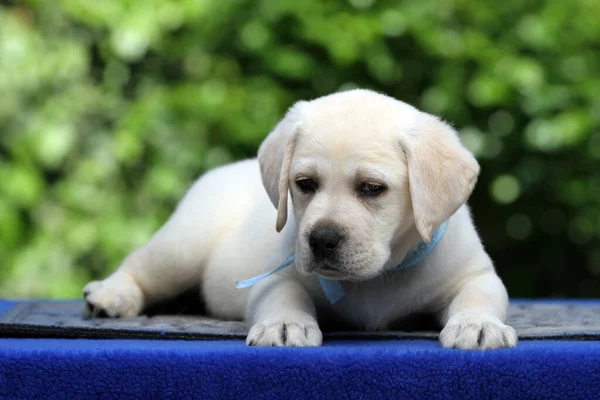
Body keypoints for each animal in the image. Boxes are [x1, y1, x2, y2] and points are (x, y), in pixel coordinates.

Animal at [82, 89, 516, 348]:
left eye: (372, 188)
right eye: (304, 184)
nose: (322, 239)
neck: (378, 277)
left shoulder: (474, 275)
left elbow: (478, 295)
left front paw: (478, 325)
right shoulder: (274, 276)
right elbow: (285, 296)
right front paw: (285, 325)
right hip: (182, 246)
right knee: (140, 267)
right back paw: (111, 295)